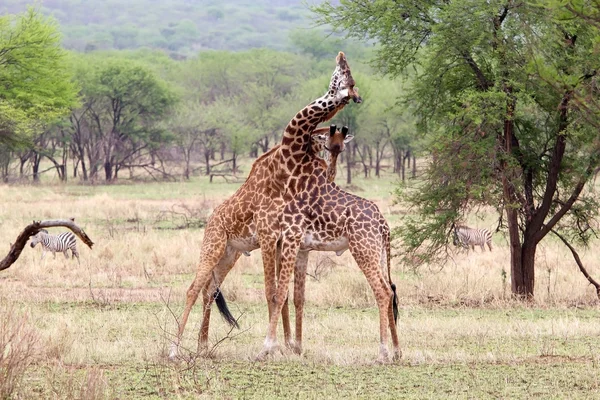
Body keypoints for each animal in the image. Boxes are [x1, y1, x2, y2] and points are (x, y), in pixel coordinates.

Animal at [256, 51, 400, 364]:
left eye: (345, 74)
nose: (341, 55)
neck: (293, 168)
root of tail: (384, 226)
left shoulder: (290, 236)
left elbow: (279, 293)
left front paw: (266, 348)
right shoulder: (295, 242)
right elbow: (290, 294)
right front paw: (289, 346)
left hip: (362, 248)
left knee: (382, 292)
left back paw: (382, 353)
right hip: (378, 250)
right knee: (391, 290)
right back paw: (397, 351)